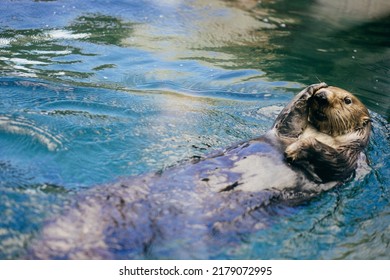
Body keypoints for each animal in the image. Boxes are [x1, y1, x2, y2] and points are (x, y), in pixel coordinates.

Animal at [29, 82, 372, 260]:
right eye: (327, 93)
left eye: (347, 99)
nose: (322, 97)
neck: (319, 133)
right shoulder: (282, 133)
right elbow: (287, 123)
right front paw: (307, 91)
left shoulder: (350, 162)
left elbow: (332, 161)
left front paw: (301, 149)